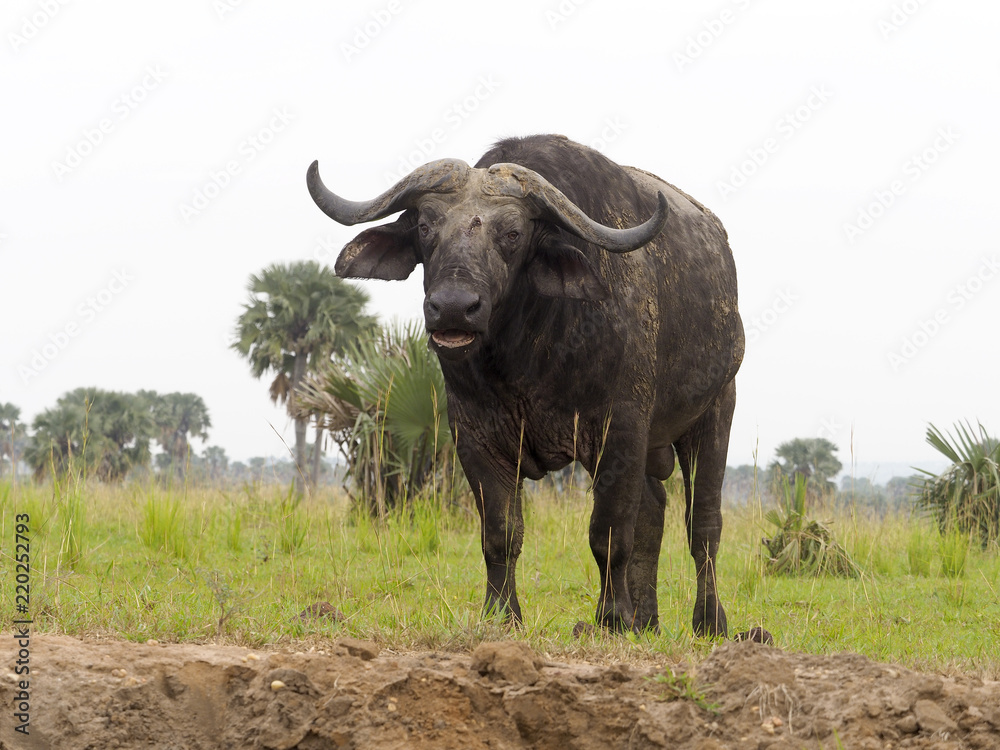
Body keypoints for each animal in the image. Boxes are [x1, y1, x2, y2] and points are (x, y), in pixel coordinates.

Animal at [307, 134, 744, 636]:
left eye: (513, 233)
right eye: (425, 226)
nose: (453, 307)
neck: (528, 354)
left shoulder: (620, 428)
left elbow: (610, 531)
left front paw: (611, 617)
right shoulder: (476, 436)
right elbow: (500, 534)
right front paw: (502, 613)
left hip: (716, 410)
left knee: (703, 526)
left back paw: (708, 620)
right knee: (654, 511)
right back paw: (647, 620)